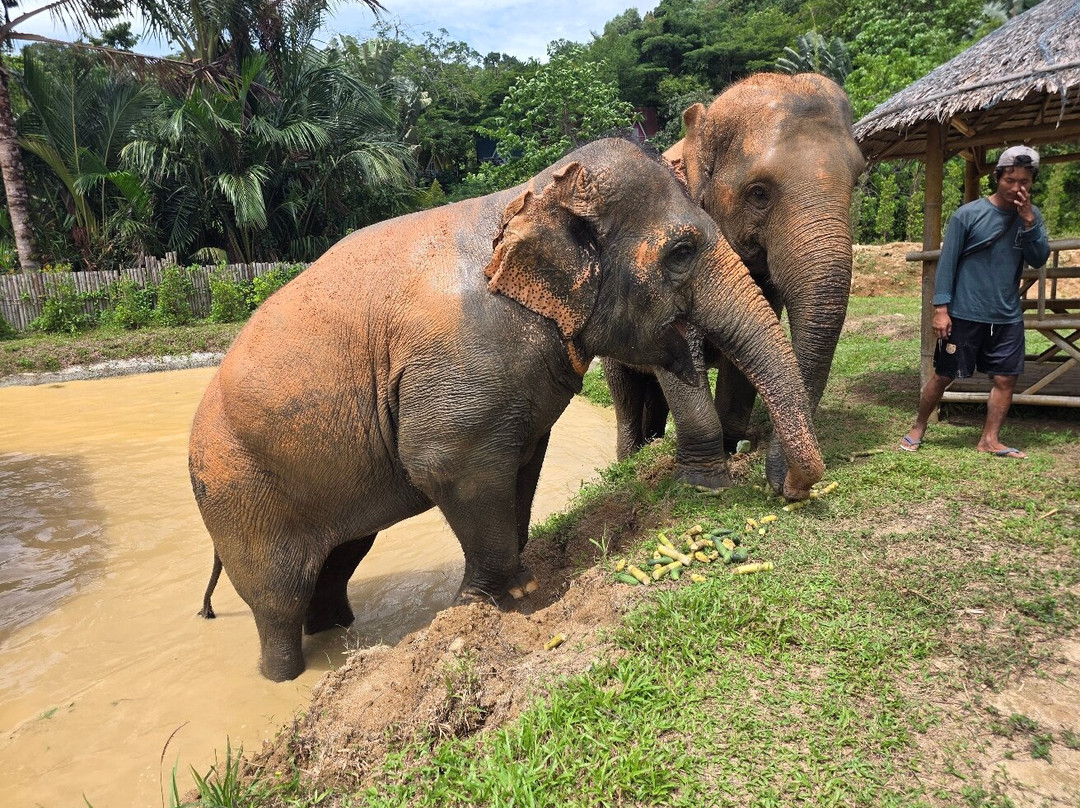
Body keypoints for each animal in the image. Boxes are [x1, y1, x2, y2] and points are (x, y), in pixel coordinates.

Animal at [189, 137, 825, 681]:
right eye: (682, 252)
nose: (788, 489)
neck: (528, 194)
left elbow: (522, 463)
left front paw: (520, 586)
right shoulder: (460, 375)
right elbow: (448, 467)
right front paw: (492, 605)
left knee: (336, 563)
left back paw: (339, 635)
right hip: (238, 493)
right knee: (278, 598)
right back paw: (284, 675)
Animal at [603, 73, 866, 492]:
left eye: (856, 181)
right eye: (759, 193)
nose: (787, 486)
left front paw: (732, 444)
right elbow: (683, 344)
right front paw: (702, 478)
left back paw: (653, 445)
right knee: (624, 389)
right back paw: (631, 458)